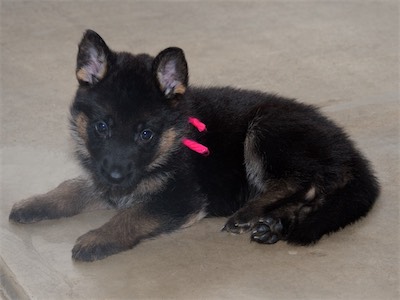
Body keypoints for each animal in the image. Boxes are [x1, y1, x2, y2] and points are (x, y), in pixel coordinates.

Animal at [8, 29, 378, 262]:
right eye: (102, 127)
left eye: (146, 134)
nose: (116, 176)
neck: (174, 137)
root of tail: (350, 151)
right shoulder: (103, 178)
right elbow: (72, 186)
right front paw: (37, 203)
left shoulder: (180, 198)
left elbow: (133, 213)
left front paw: (98, 237)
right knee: (313, 192)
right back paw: (274, 224)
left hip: (268, 128)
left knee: (302, 183)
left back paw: (251, 213)